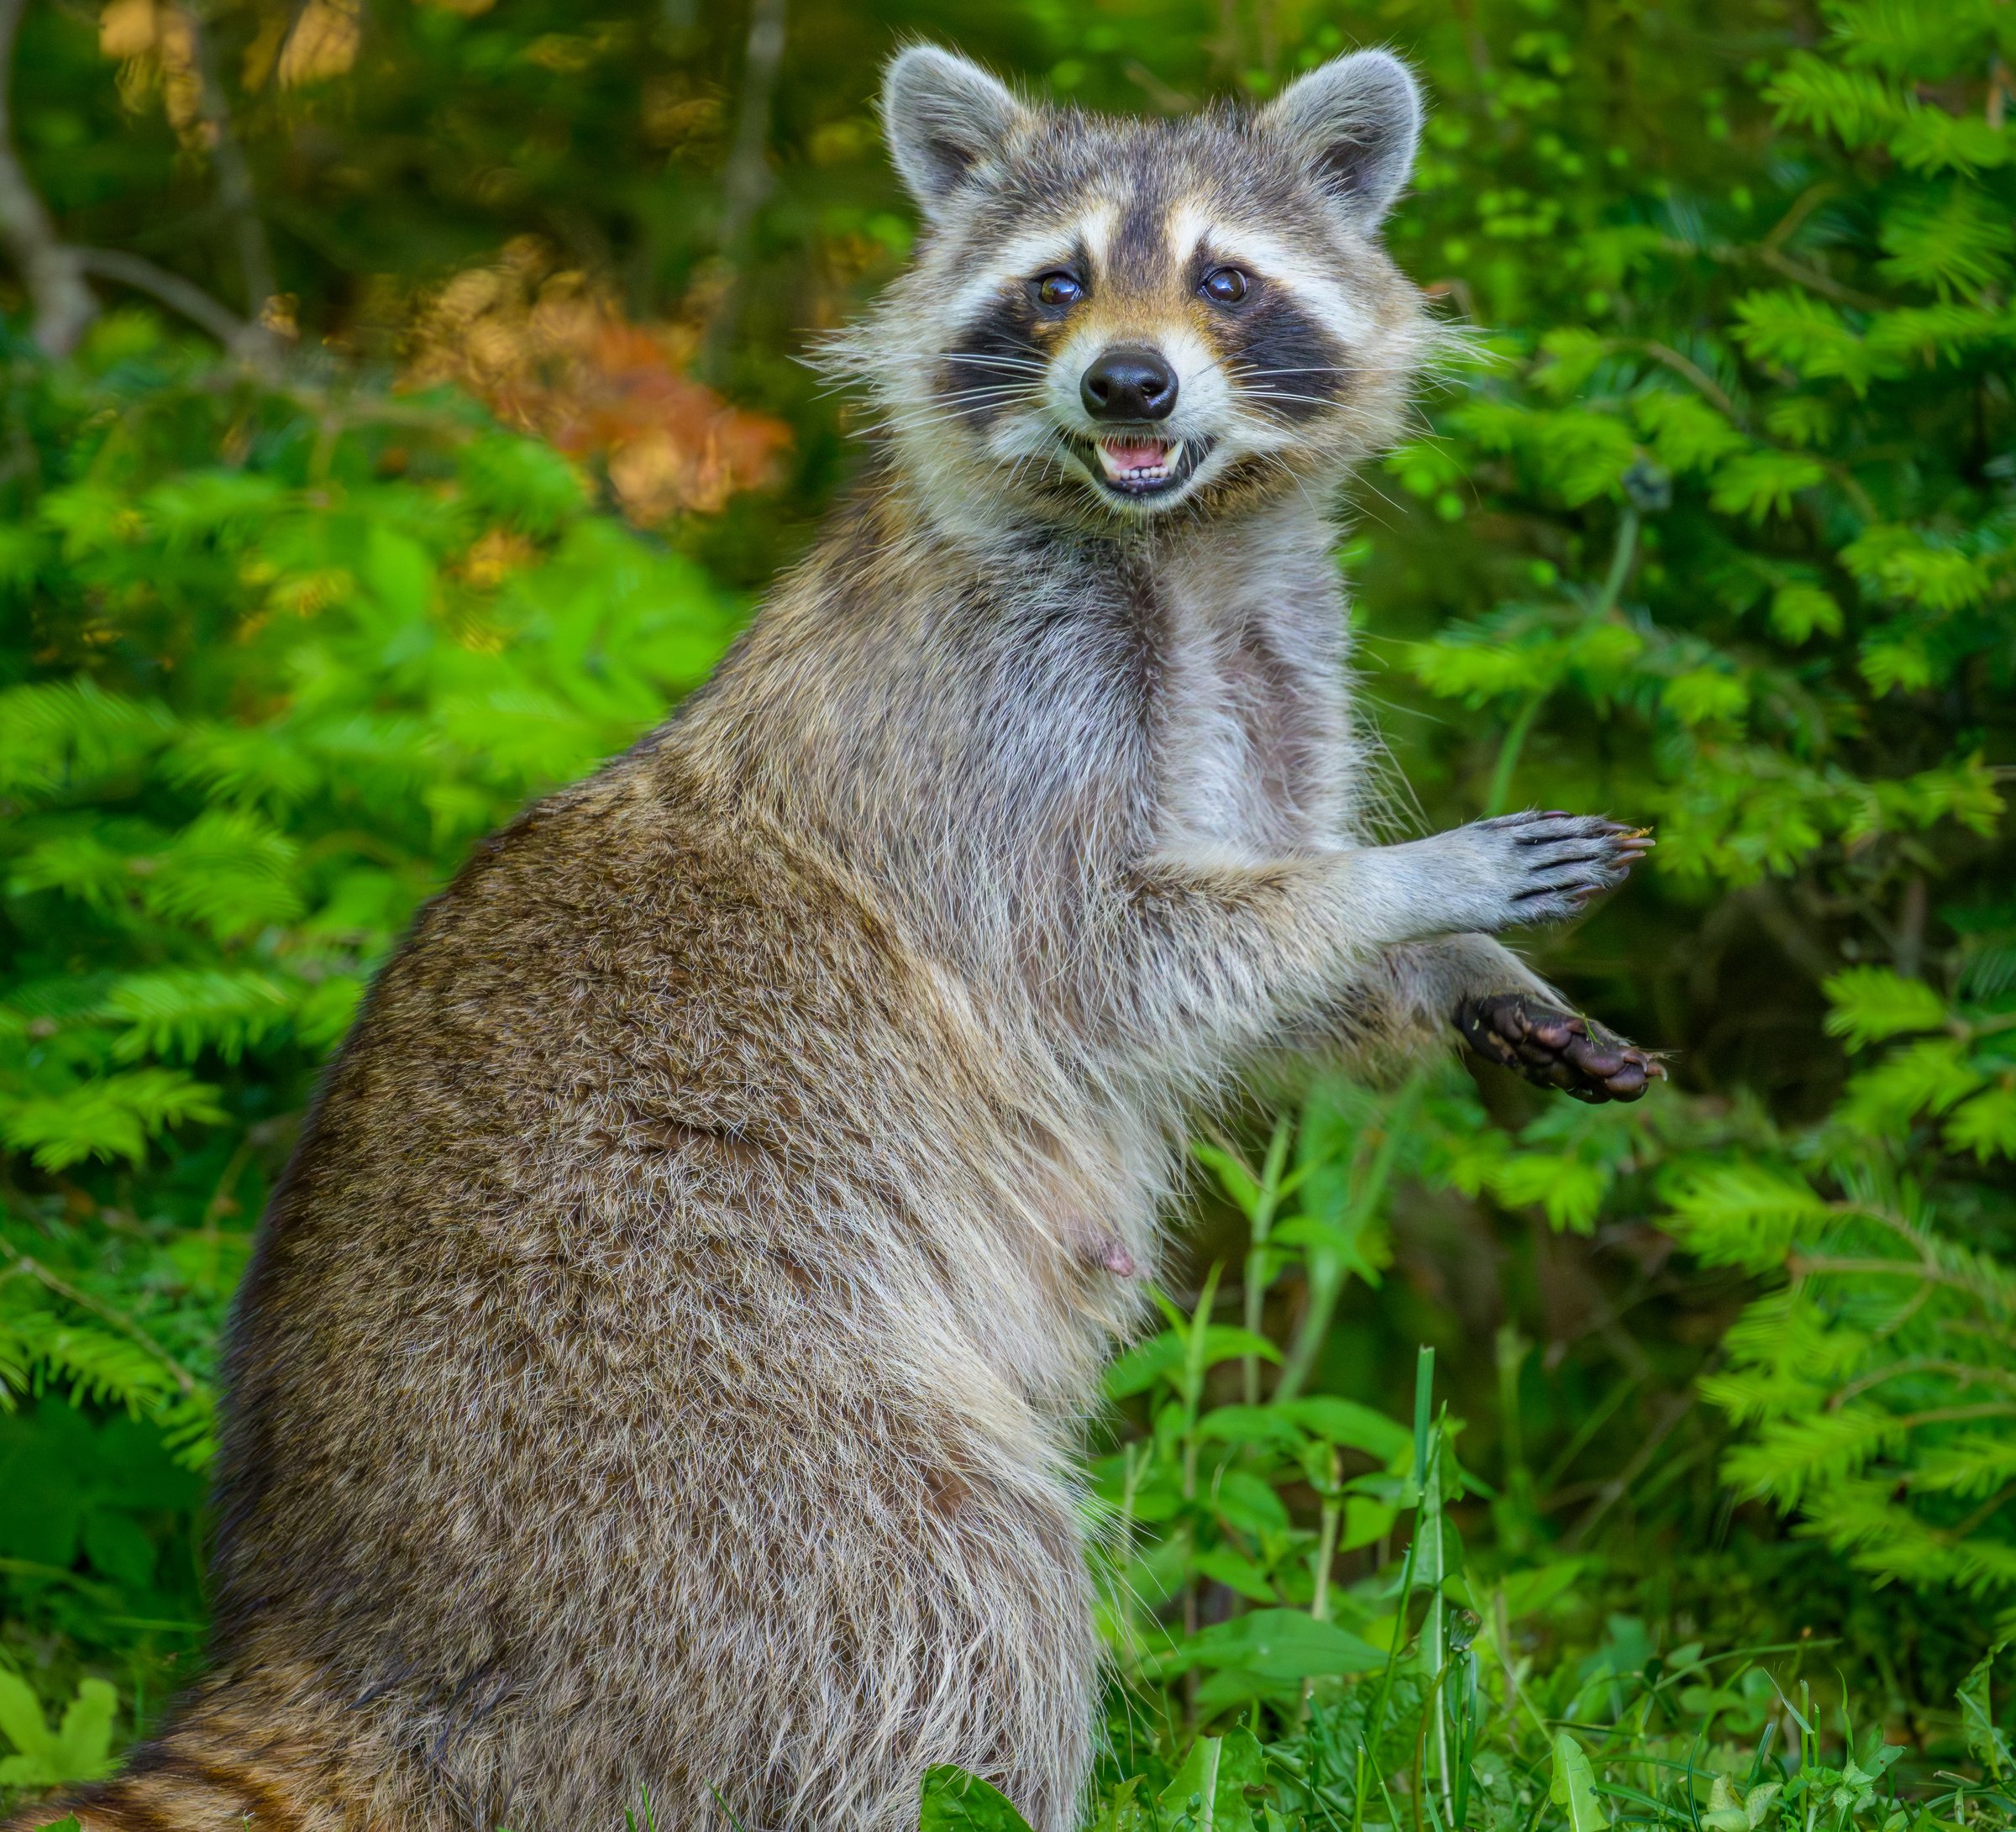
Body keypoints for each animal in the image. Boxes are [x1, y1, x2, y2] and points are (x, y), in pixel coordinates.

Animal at [24, 44, 1660, 1832]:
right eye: (1056, 284)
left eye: (1226, 281)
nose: (1130, 388)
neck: (1182, 541)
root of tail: (332, 1640)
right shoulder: (984, 731)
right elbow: (1119, 959)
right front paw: (1417, 885)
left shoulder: (1282, 663)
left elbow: (1262, 954)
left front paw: (1470, 978)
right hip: (693, 1433)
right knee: (958, 1588)